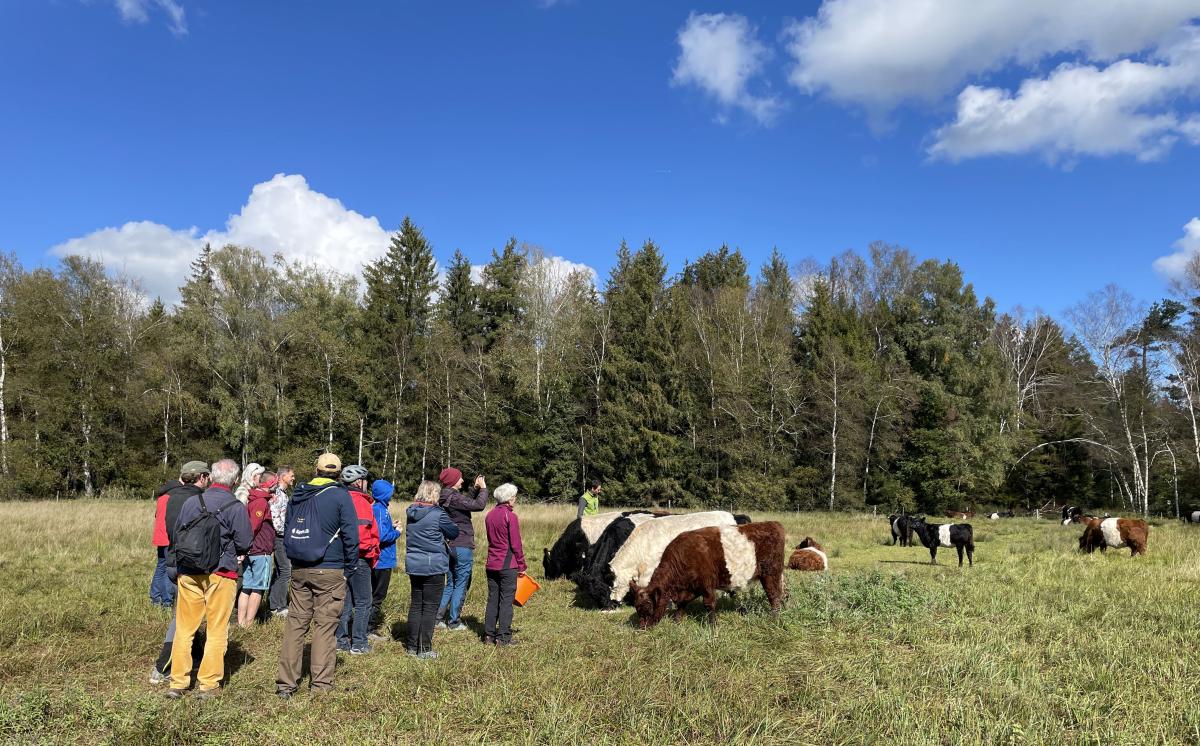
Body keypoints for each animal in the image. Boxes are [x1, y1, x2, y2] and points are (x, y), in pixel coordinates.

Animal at [628, 520, 787, 633]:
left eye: (648, 605)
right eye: (636, 607)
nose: (642, 629)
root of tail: (773, 523)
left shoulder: (706, 584)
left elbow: (709, 604)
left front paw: (713, 626)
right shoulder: (692, 588)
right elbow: (682, 604)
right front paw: (677, 622)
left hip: (770, 573)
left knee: (774, 595)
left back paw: (774, 619)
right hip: (777, 574)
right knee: (784, 592)